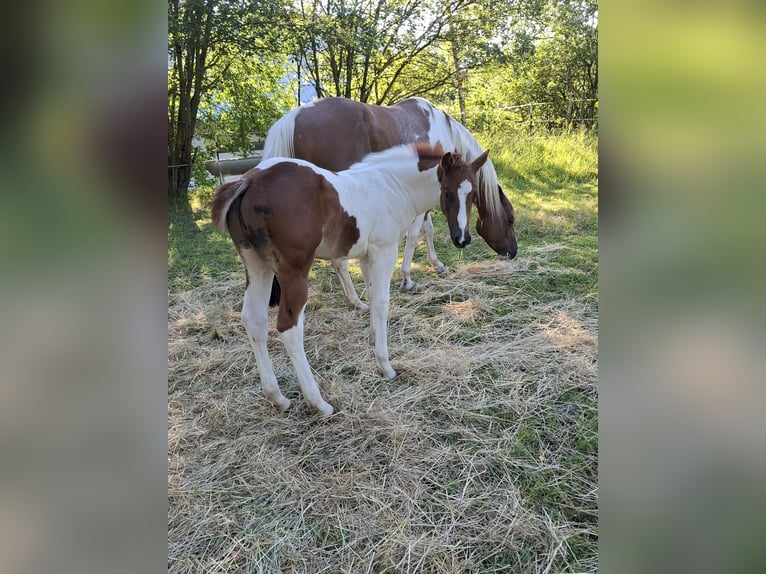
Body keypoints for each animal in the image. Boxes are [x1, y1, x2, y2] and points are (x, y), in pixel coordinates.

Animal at [213, 142, 488, 416]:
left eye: (474, 193)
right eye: (448, 193)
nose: (462, 238)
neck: (392, 185)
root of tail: (249, 180)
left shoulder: (366, 256)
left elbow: (371, 295)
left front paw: (373, 334)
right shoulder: (384, 250)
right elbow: (381, 303)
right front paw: (385, 365)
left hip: (257, 266)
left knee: (253, 320)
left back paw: (277, 398)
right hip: (294, 271)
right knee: (289, 329)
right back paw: (318, 402)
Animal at [260, 96, 520, 310]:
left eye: (473, 194)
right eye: (510, 220)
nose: (513, 252)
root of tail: (293, 117)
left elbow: (428, 229)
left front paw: (435, 263)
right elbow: (415, 234)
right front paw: (406, 277)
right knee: (339, 260)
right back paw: (356, 301)